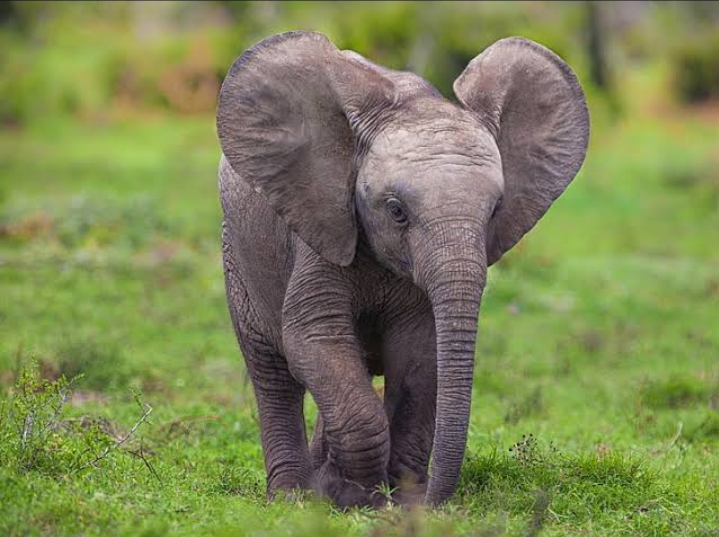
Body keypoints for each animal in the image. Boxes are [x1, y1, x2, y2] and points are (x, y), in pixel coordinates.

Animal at [216, 31, 589, 509]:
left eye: (495, 211)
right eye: (396, 211)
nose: (431, 499)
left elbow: (419, 356)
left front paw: (394, 499)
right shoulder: (321, 232)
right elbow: (314, 338)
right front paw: (356, 496)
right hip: (238, 253)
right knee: (272, 371)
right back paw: (291, 496)